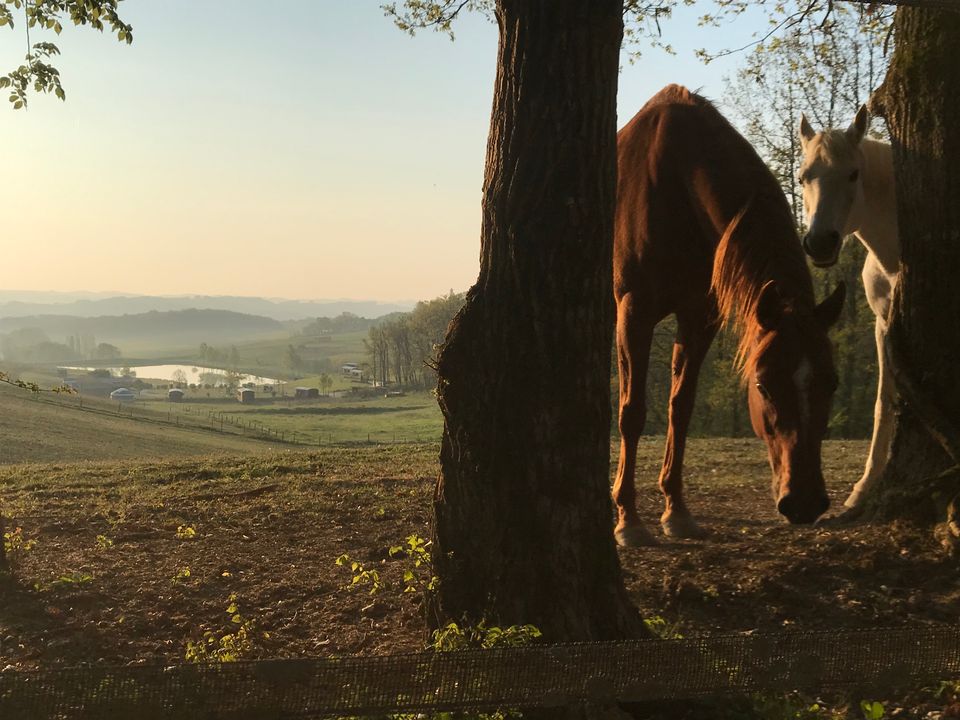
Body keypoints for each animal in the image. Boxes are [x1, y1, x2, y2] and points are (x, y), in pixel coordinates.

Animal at [612, 86, 844, 544]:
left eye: (832, 383)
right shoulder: (635, 311)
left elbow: (680, 408)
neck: (675, 180)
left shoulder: (699, 317)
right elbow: (633, 412)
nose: (805, 502)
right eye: (763, 385)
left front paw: (677, 512)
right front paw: (628, 519)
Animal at [796, 108, 900, 512]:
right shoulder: (885, 326)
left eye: (854, 174)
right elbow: (883, 402)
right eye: (803, 176)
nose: (819, 243)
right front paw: (864, 488)